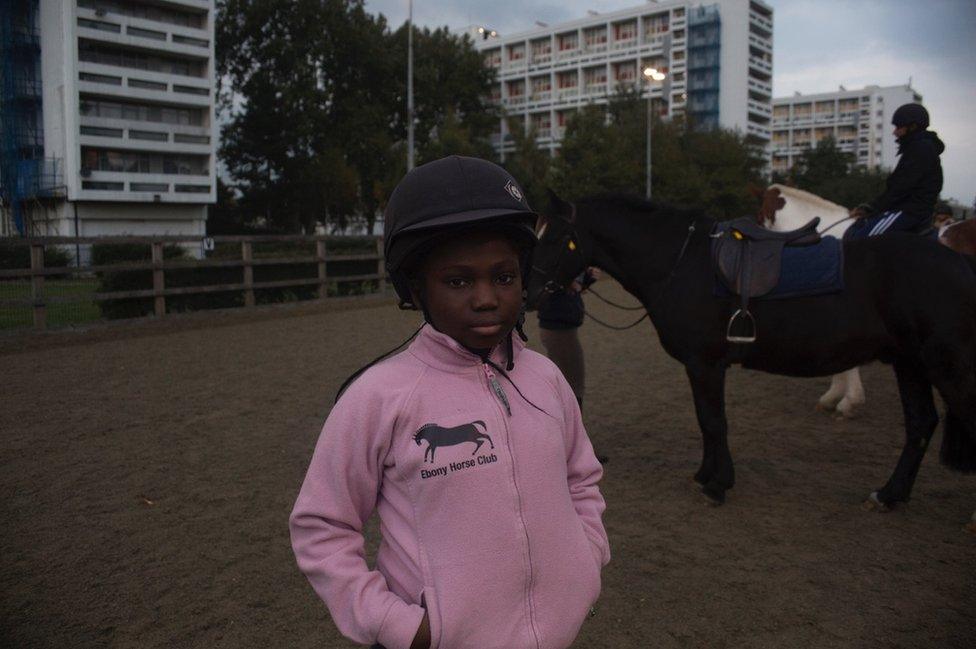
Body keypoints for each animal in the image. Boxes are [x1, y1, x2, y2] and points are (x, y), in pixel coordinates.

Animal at [532, 192, 976, 512]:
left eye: (552, 237)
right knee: (921, 424)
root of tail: (959, 263)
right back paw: (889, 495)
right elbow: (707, 422)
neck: (681, 262)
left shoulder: (706, 364)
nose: (532, 291)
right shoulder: (702, 366)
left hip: (947, 365)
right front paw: (706, 474)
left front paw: (717, 483)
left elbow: (713, 421)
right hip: (910, 362)